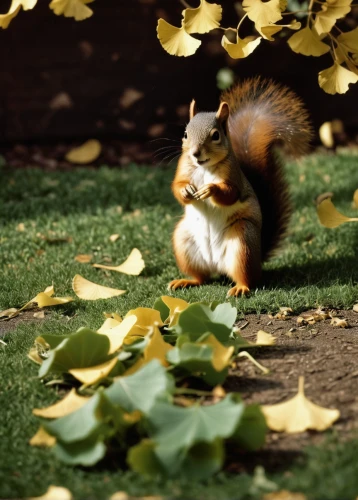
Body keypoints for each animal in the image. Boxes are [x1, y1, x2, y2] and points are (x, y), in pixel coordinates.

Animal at [168, 75, 310, 294]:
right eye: (185, 134)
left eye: (216, 135)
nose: (195, 153)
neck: (204, 167)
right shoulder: (183, 167)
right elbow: (177, 186)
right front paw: (186, 190)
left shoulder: (233, 176)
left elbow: (230, 193)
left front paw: (210, 189)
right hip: (184, 242)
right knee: (202, 277)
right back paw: (187, 281)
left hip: (243, 242)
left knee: (246, 277)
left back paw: (241, 288)